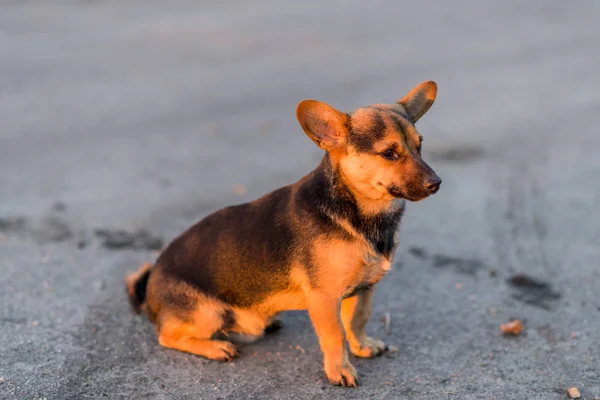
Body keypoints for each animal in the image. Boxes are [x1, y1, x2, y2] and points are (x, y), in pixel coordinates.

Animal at [125, 79, 440, 386]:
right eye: (389, 153)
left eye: (420, 146)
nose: (436, 183)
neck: (359, 210)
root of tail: (149, 285)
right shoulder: (325, 299)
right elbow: (335, 334)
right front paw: (339, 369)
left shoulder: (363, 288)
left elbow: (357, 319)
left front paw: (362, 346)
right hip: (208, 313)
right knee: (167, 336)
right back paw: (215, 347)